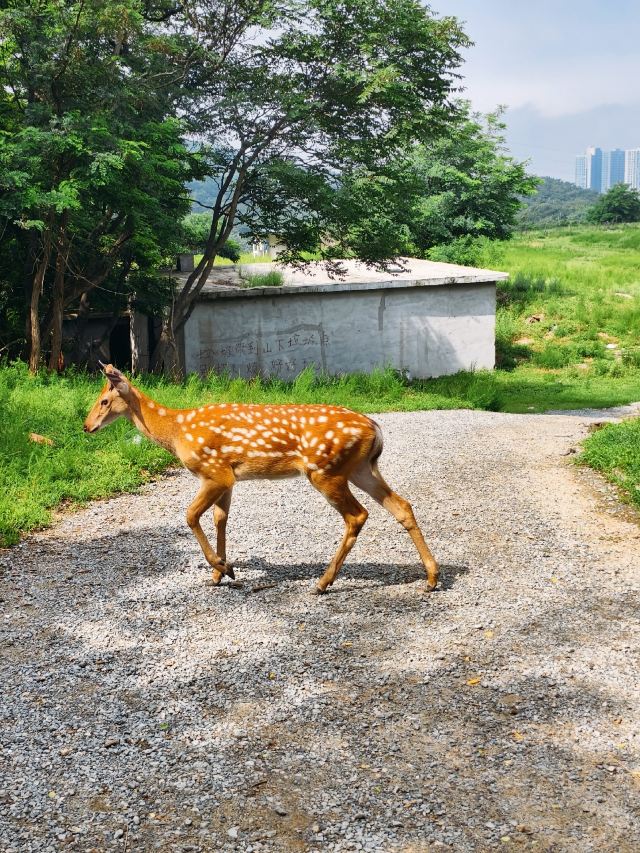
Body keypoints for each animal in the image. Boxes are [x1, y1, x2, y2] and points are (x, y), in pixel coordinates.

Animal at [83, 363, 439, 595]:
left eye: (104, 400)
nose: (86, 427)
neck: (176, 430)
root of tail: (375, 428)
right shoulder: (228, 476)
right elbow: (220, 518)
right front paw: (219, 573)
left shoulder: (214, 471)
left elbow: (191, 515)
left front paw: (223, 568)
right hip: (362, 467)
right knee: (402, 505)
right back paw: (432, 578)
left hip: (326, 469)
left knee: (358, 515)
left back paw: (323, 583)